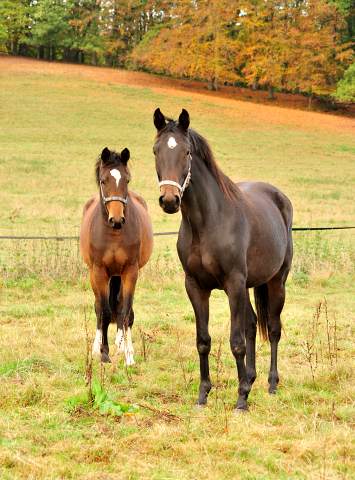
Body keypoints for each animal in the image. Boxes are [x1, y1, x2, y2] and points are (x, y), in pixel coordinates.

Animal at [80, 146, 153, 364]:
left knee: (120, 306)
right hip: (95, 274)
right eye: (103, 180)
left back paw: (120, 345)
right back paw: (96, 348)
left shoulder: (130, 271)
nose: (117, 219)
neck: (113, 235)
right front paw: (104, 353)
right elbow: (104, 310)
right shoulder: (100, 272)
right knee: (98, 307)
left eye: (126, 180)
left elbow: (125, 310)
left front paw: (128, 354)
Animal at [154, 109, 294, 412]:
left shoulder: (233, 284)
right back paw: (251, 377)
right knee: (253, 324)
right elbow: (203, 340)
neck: (208, 222)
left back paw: (270, 384)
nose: (169, 200)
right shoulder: (196, 286)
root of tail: (279, 197)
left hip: (276, 281)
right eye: (156, 150)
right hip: (249, 286)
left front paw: (241, 399)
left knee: (273, 329)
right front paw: (203, 395)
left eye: (186, 152)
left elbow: (236, 341)